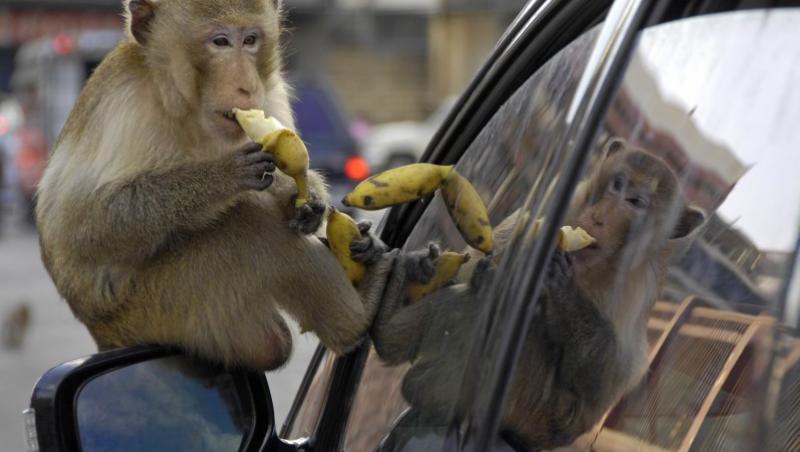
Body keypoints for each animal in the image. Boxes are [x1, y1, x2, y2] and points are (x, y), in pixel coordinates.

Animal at [368, 139, 708, 450]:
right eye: (617, 184)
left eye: (636, 201)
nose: (600, 217)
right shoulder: (567, 201)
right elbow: (477, 263)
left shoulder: (640, 283)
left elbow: (607, 381)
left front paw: (561, 284)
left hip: (536, 412)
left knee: (513, 321)